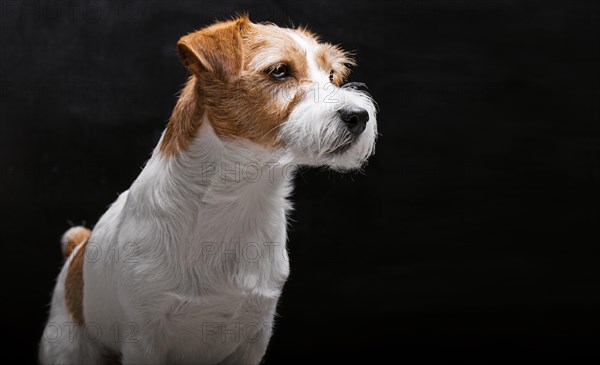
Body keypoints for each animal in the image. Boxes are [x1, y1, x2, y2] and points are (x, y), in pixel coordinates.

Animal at [38, 15, 376, 362]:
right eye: (279, 71)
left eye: (332, 75)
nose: (358, 116)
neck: (239, 195)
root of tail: (78, 248)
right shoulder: (144, 340)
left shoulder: (254, 336)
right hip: (67, 348)